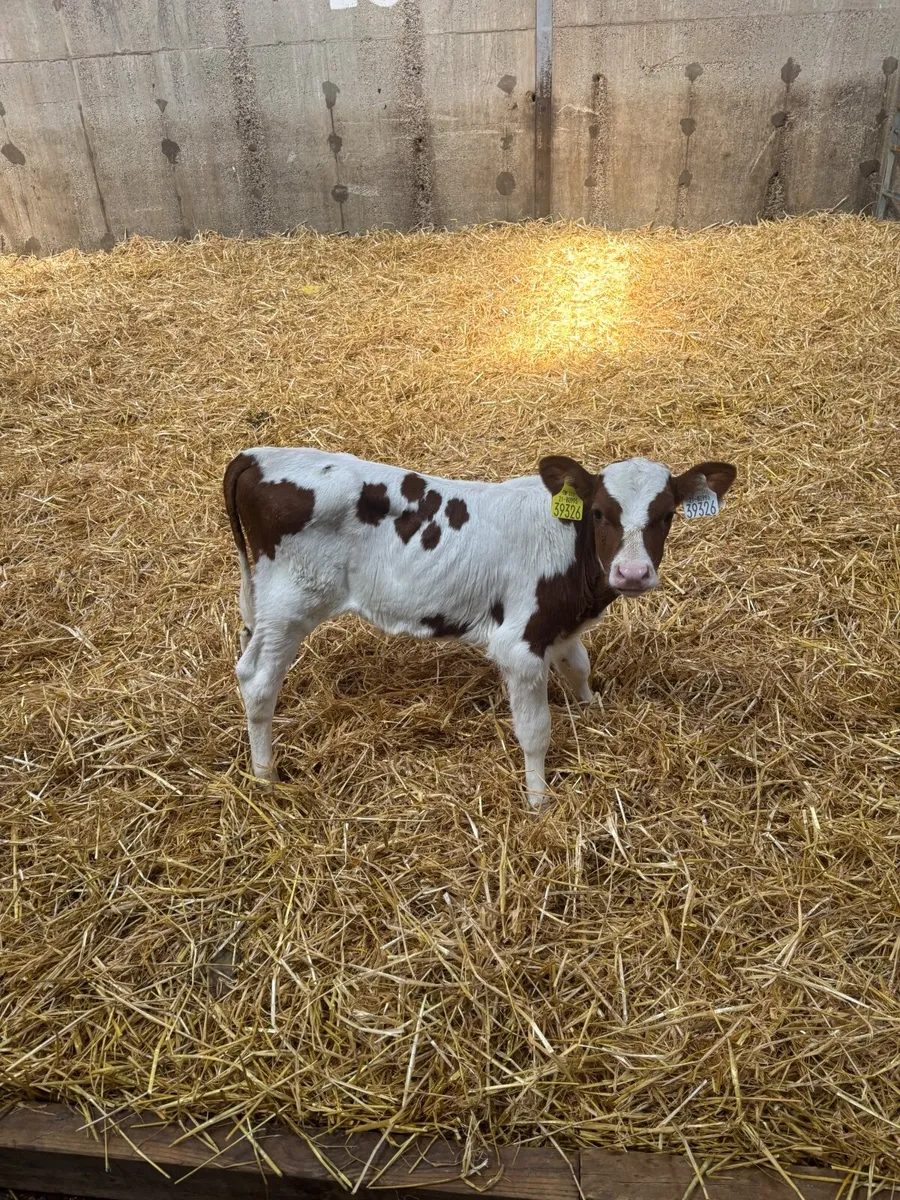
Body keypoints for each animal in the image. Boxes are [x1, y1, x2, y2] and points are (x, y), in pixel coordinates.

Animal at [224, 448, 736, 806]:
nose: (631, 574)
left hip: (264, 602)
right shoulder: (520, 644)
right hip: (292, 603)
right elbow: (536, 729)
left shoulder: (558, 625)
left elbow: (578, 667)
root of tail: (258, 455)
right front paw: (539, 800)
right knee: (257, 679)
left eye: (666, 515)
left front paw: (591, 709)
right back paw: (266, 777)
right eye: (598, 513)